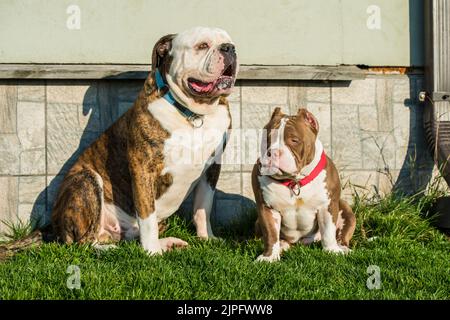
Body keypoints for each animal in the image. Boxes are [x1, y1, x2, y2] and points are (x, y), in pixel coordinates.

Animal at [51, 26, 239, 254]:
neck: (193, 114)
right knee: (83, 242)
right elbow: (147, 216)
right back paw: (115, 249)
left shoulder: (211, 168)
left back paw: (167, 242)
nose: (229, 48)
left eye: (229, 42)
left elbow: (203, 207)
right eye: (202, 45)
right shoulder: (143, 168)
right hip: (86, 180)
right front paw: (151, 253)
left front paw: (207, 238)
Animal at [253, 107, 356, 262]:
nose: (273, 152)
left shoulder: (327, 206)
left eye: (294, 140)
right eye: (267, 139)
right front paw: (269, 257)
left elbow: (328, 231)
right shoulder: (266, 208)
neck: (295, 182)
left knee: (341, 235)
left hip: (345, 210)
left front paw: (332, 250)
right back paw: (282, 245)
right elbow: (270, 234)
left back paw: (342, 248)